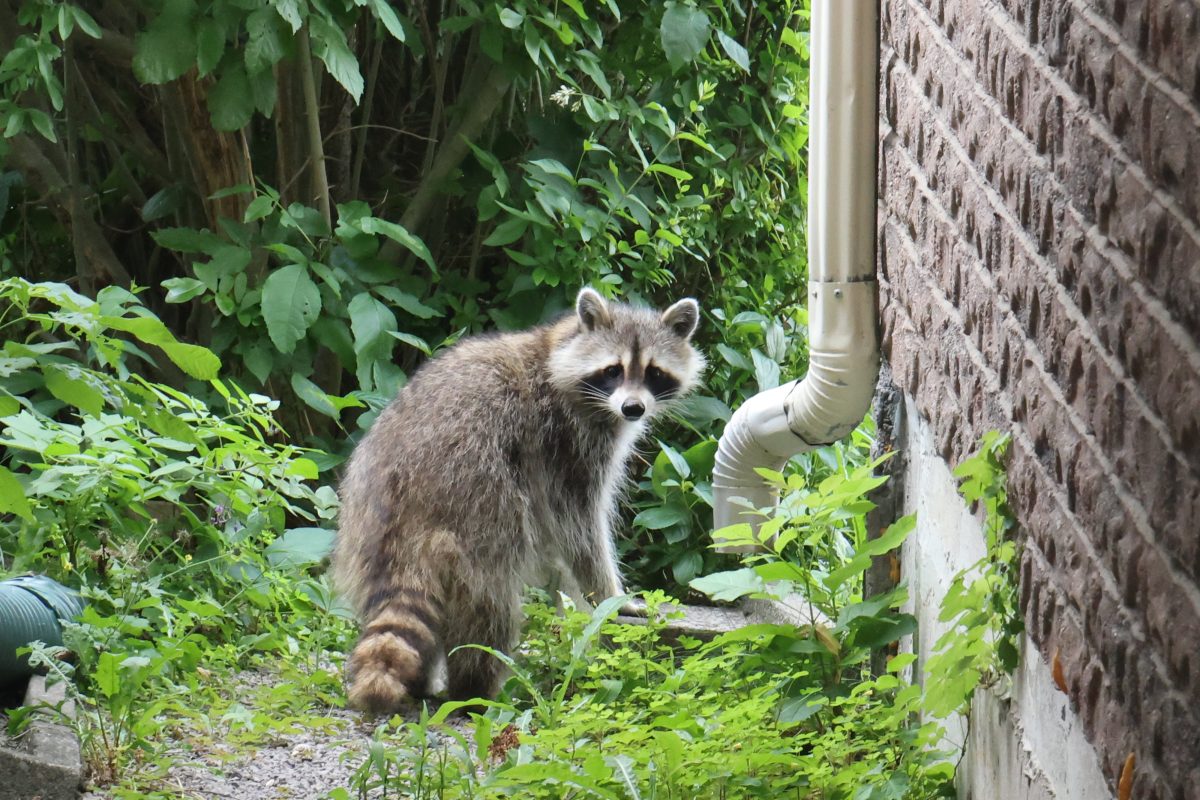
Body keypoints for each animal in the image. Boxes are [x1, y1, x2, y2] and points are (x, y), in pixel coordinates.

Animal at [333, 287, 705, 712]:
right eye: (613, 370)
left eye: (654, 372)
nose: (633, 408)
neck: (557, 347)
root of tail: (403, 506)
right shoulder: (563, 439)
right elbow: (578, 526)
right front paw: (609, 595)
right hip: (478, 501)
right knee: (491, 603)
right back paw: (475, 689)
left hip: (360, 523)